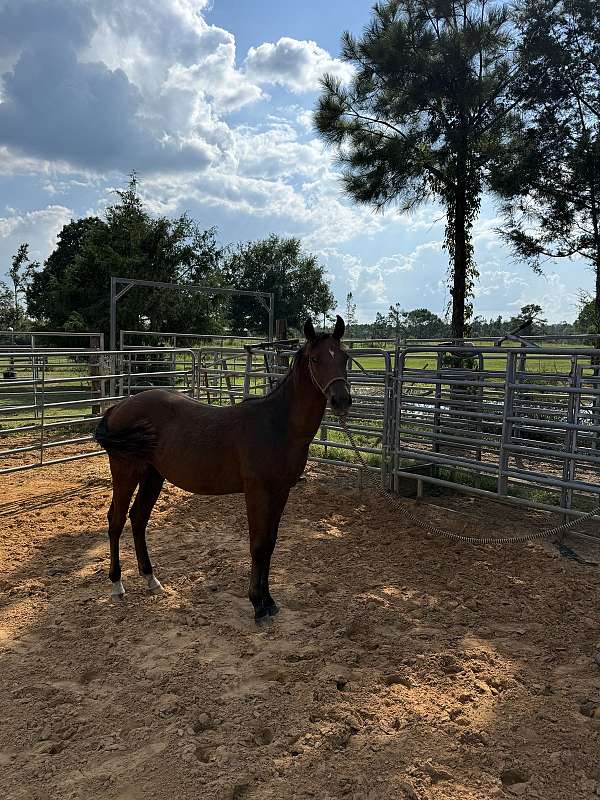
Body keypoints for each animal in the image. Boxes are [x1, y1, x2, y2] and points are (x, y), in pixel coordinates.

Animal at [94, 316, 351, 622]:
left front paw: (269, 601)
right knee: (116, 520)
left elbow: (270, 543)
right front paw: (257, 604)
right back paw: (117, 584)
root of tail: (117, 408)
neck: (277, 424)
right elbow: (258, 545)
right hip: (126, 472)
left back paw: (151, 579)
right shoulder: (257, 492)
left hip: (153, 476)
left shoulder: (281, 492)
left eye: (345, 357)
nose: (342, 400)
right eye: (315, 359)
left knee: (138, 518)